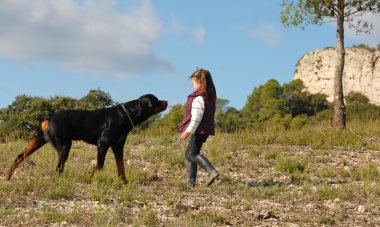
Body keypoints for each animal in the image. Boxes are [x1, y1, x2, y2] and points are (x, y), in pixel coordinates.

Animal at [5, 93, 168, 184]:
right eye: (156, 99)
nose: (166, 101)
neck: (127, 114)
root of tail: (48, 118)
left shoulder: (118, 146)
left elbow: (121, 166)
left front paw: (124, 182)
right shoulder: (103, 144)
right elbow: (99, 166)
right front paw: (91, 180)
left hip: (39, 141)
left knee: (19, 157)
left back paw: (8, 177)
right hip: (65, 146)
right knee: (58, 167)